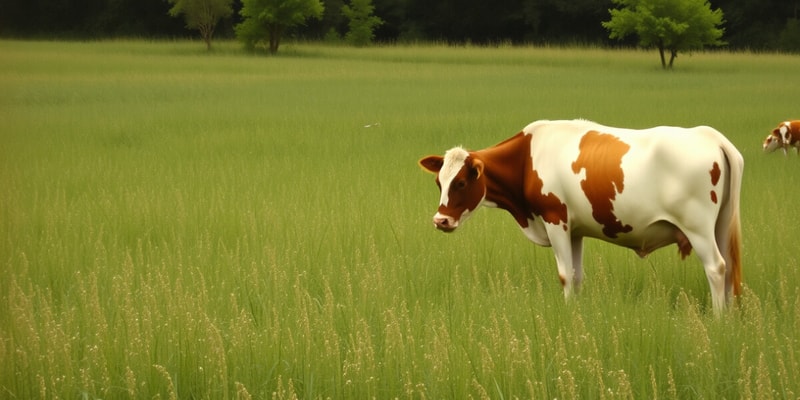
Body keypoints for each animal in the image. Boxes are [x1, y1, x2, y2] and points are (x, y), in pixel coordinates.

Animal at [418, 120, 744, 314]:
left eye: (461, 182)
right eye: (438, 182)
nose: (440, 221)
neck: (527, 158)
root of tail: (709, 134)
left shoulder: (555, 220)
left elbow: (564, 275)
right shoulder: (575, 230)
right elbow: (576, 276)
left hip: (698, 227)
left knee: (716, 268)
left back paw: (717, 319)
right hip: (719, 225)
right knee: (729, 269)